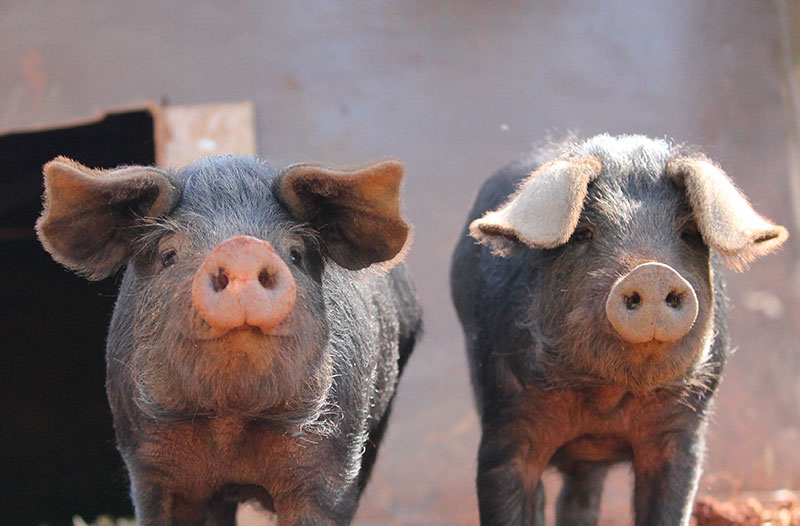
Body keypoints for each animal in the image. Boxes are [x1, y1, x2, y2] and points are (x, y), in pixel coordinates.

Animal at [34, 155, 422, 524]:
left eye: (295, 254)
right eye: (168, 255)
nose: (242, 248)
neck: (230, 423)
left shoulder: (331, 455)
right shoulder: (147, 461)